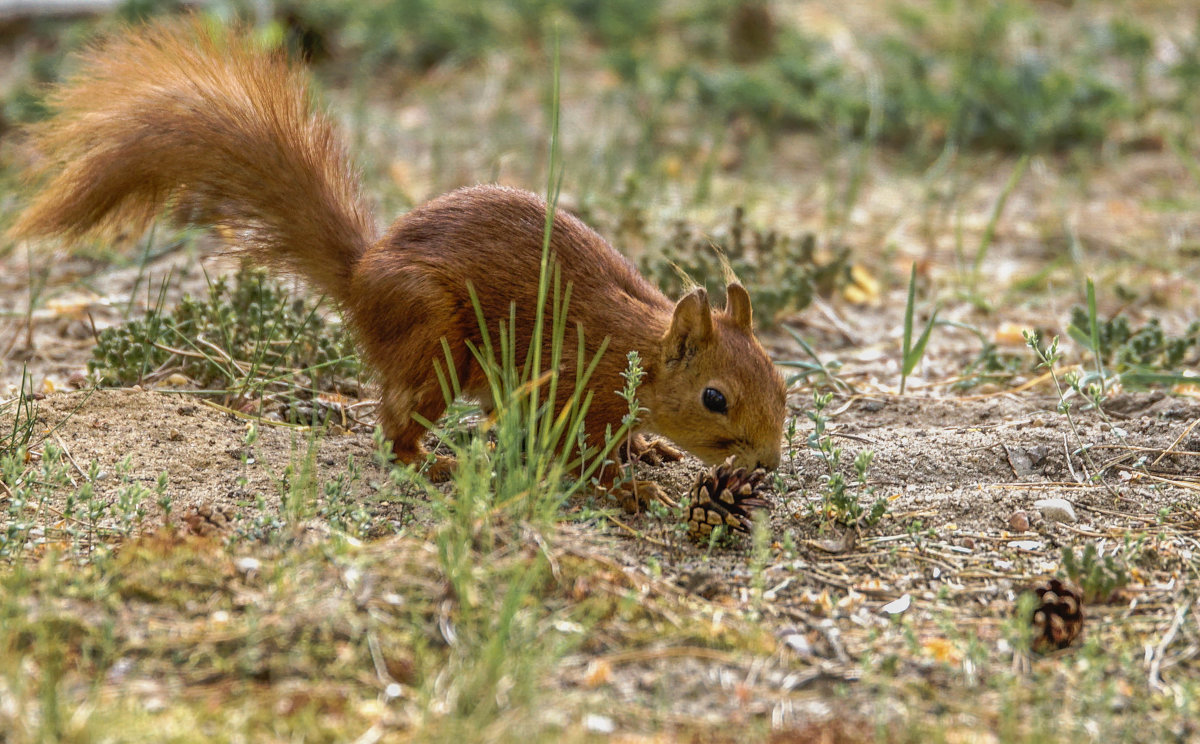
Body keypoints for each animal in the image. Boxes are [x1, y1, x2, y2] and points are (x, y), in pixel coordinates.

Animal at [14, 18, 792, 506]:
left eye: (782, 379)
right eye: (715, 398)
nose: (767, 463)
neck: (636, 349)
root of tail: (363, 276)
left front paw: (649, 453)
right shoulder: (567, 386)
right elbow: (573, 454)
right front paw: (627, 488)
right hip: (432, 338)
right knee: (395, 425)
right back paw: (431, 463)